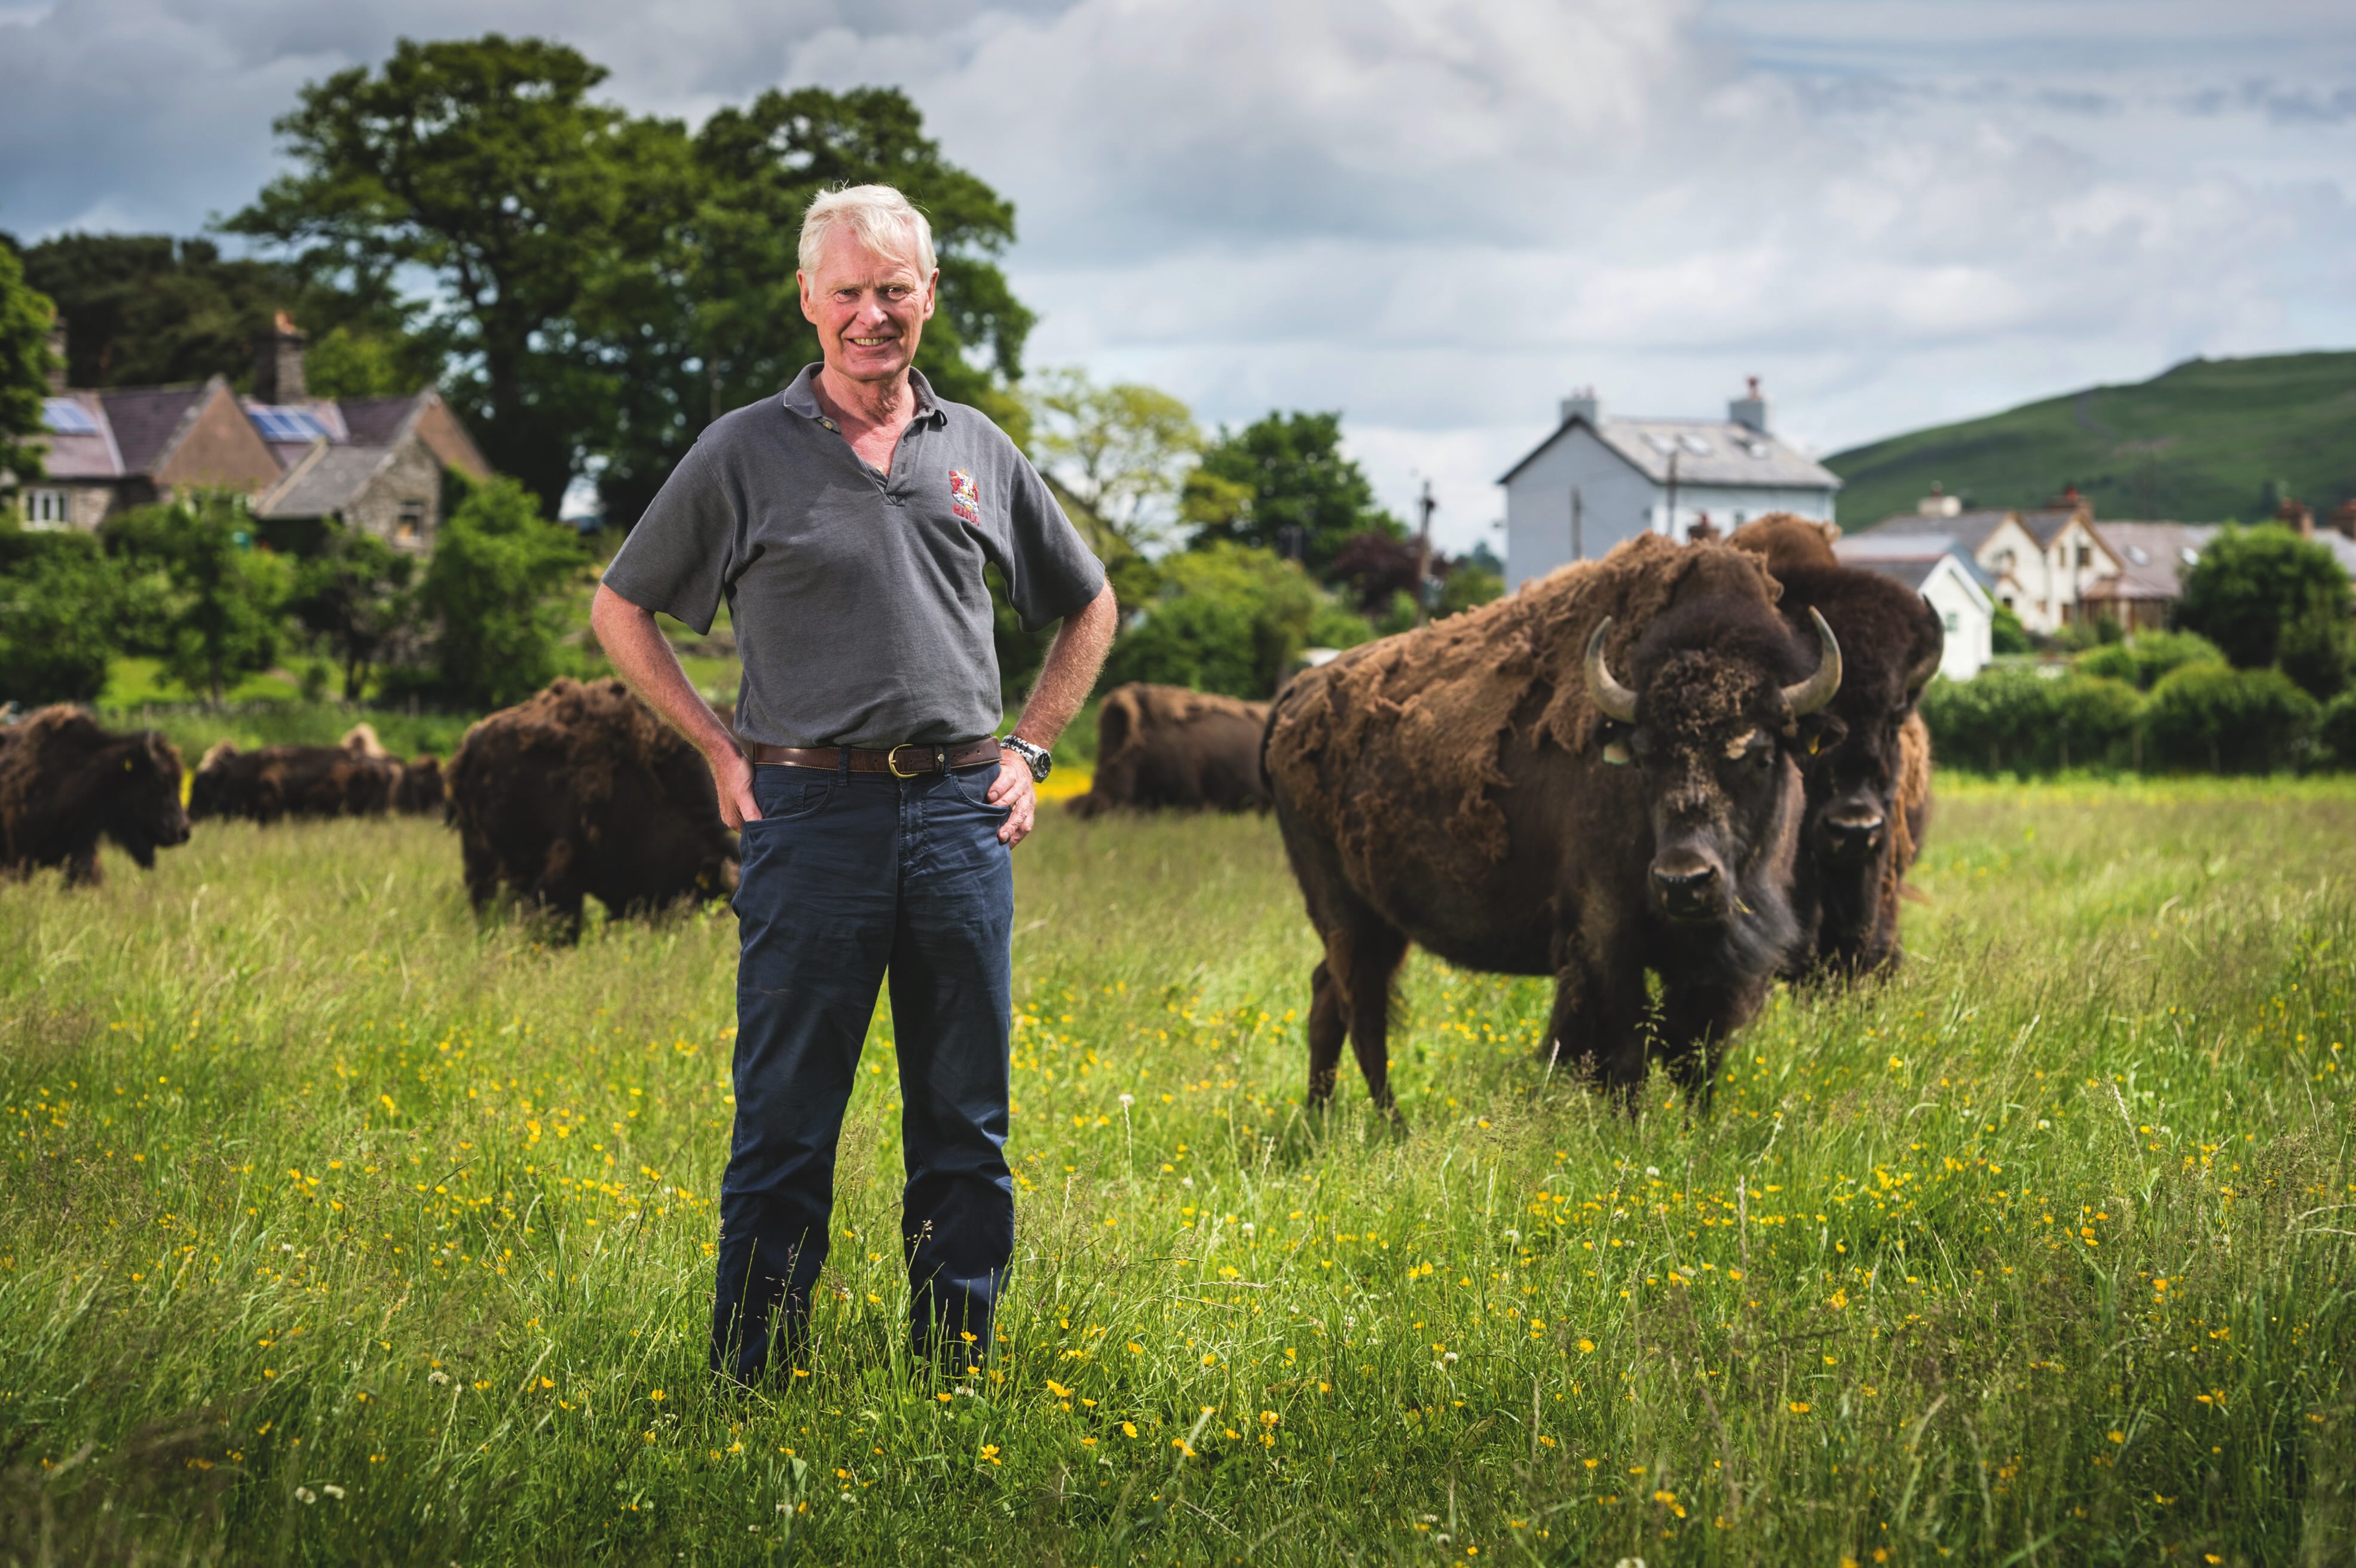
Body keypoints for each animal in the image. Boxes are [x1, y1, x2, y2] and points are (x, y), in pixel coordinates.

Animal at [1262, 534, 1843, 1117]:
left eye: (1761, 757)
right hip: (1344, 914)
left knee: (1329, 1000)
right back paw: (1390, 1125)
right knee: (1361, 1013)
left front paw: (1696, 1129)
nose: (1684, 881)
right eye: (1643, 758)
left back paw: (1320, 1119)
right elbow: (1626, 1054)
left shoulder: (1714, 969)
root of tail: (1296, 693)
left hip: (1378, 923)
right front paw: (1628, 1128)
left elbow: (1697, 1058)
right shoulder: (1607, 937)